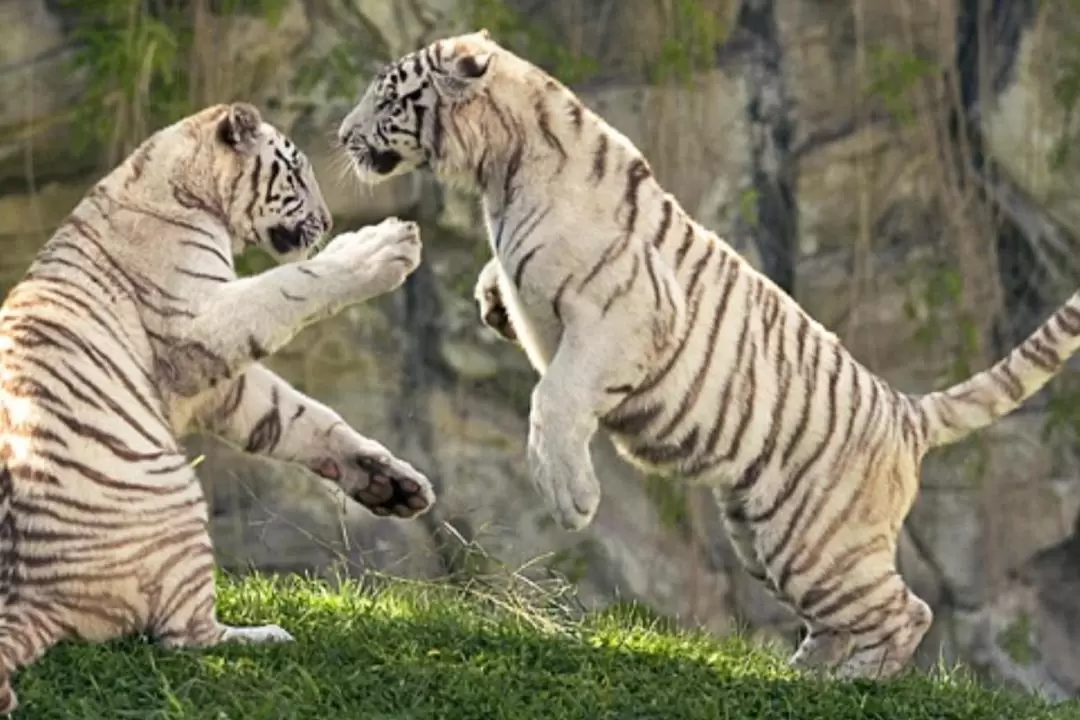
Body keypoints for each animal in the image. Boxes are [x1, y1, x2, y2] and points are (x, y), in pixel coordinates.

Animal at [334, 29, 1080, 682]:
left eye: (386, 96)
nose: (341, 136)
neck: (500, 168)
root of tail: (904, 410)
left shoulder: (624, 314)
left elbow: (556, 397)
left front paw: (571, 498)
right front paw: (492, 302)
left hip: (819, 539)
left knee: (905, 611)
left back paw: (850, 686)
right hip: (766, 537)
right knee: (842, 620)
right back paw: (800, 677)